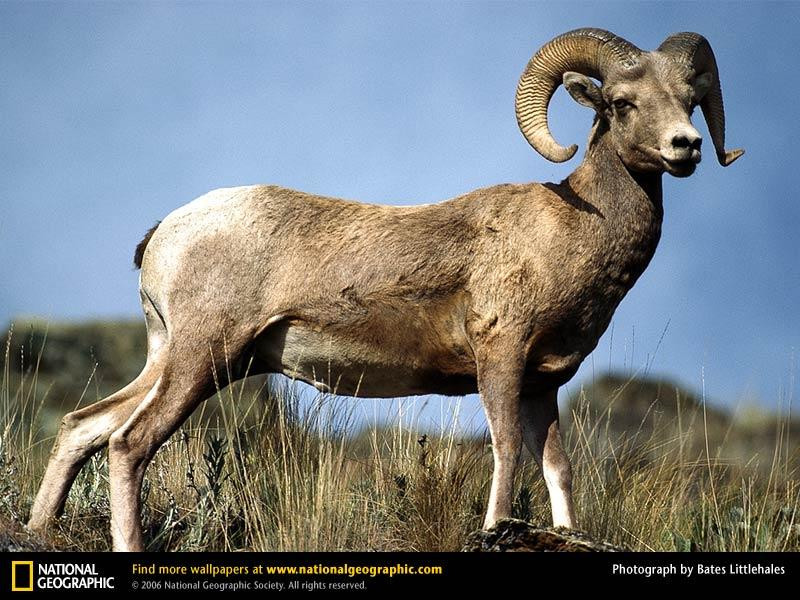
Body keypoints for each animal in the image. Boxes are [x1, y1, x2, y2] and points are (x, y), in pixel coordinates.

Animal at [28, 29, 740, 552]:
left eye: (688, 98)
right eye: (621, 103)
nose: (686, 146)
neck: (573, 227)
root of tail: (166, 232)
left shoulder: (545, 383)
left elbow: (557, 470)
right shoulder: (501, 361)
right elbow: (507, 449)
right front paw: (494, 529)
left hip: (181, 359)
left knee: (83, 428)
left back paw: (40, 527)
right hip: (202, 358)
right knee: (128, 443)